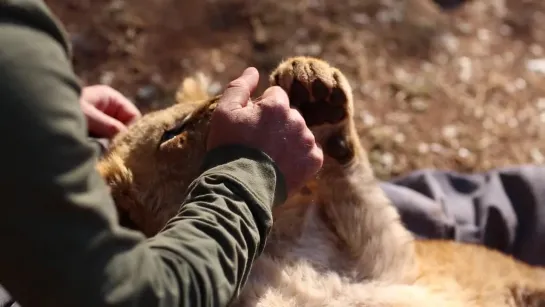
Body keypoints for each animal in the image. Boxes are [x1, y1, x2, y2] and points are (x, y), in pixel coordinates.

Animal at [96, 57, 544, 306]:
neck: (273, 248)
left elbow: (356, 188)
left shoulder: (388, 266)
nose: (237, 96)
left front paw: (314, 88)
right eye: (172, 133)